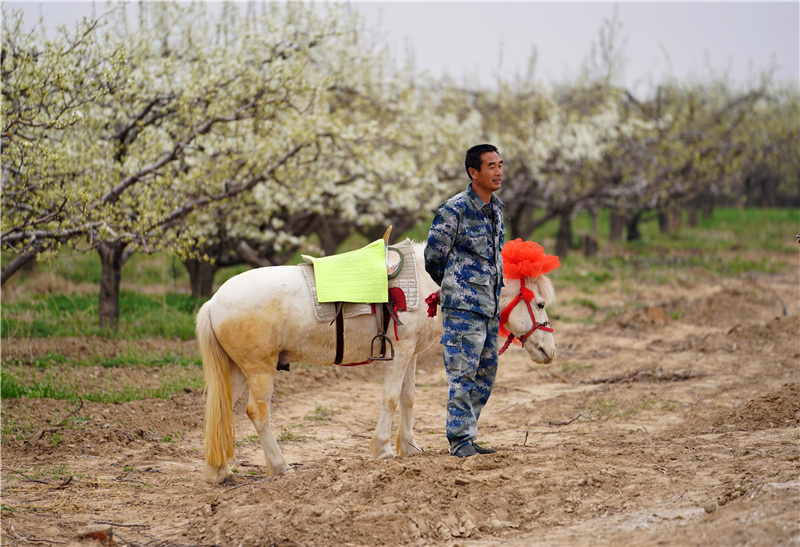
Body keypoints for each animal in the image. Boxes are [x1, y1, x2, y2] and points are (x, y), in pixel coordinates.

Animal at [197, 242, 556, 482]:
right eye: (539, 304)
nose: (549, 351)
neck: (430, 284)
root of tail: (215, 301)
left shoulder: (411, 354)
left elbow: (408, 398)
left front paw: (409, 446)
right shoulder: (400, 352)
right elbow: (390, 398)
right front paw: (383, 448)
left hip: (237, 371)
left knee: (223, 410)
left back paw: (221, 470)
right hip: (260, 369)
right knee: (258, 413)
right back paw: (279, 465)